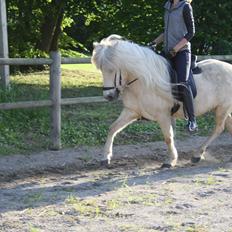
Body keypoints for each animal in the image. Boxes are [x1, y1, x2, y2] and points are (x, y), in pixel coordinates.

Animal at [91, 34, 232, 168]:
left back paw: (197, 154)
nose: (108, 96)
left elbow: (168, 137)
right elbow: (112, 128)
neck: (143, 80)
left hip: (222, 107)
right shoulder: (131, 111)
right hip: (222, 108)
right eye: (101, 70)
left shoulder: (163, 115)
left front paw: (170, 161)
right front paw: (105, 158)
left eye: (112, 69)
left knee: (219, 128)